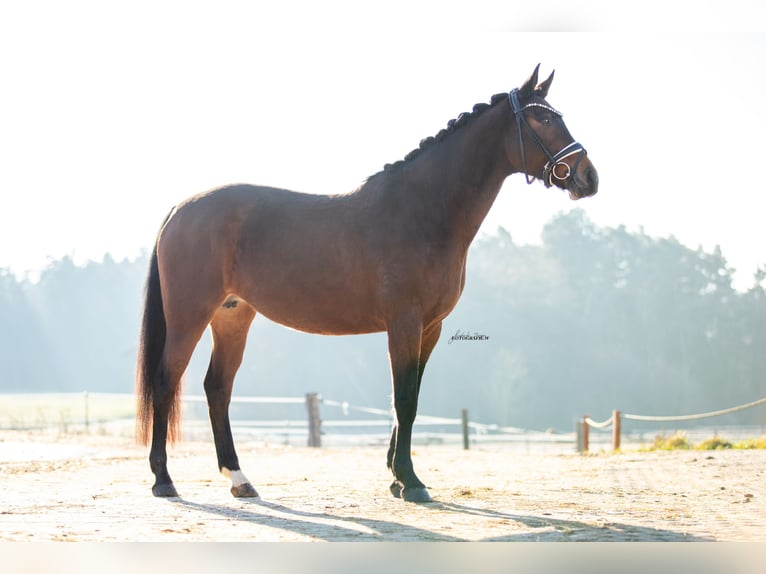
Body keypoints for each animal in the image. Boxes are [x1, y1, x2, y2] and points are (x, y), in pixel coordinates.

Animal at [136, 65, 600, 502]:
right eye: (543, 119)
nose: (589, 177)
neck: (422, 210)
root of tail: (180, 208)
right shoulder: (405, 323)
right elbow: (404, 400)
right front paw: (411, 482)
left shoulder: (430, 328)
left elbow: (408, 399)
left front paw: (397, 478)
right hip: (189, 316)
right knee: (165, 380)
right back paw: (163, 480)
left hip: (232, 317)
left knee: (217, 387)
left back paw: (239, 479)